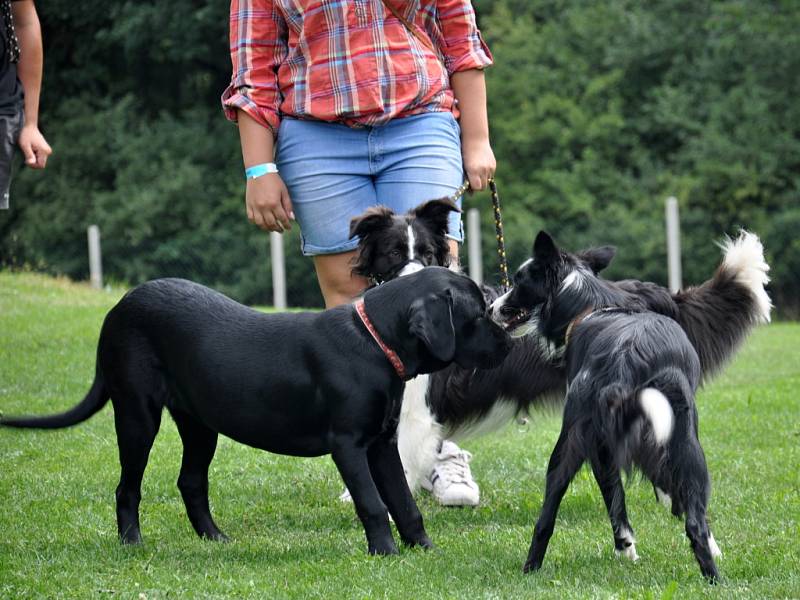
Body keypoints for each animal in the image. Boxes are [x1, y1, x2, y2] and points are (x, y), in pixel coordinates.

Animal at [1, 270, 512, 556]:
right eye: (478, 314)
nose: (509, 343)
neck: (374, 342)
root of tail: (120, 305)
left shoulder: (382, 444)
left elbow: (404, 504)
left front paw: (423, 550)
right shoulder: (348, 444)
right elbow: (372, 504)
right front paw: (384, 554)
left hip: (199, 423)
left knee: (191, 482)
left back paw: (214, 539)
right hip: (136, 414)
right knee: (128, 487)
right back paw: (132, 544)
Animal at [488, 231, 776, 580]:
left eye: (519, 281)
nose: (490, 307)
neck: (592, 304)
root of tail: (625, 362)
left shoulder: (599, 446)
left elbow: (615, 495)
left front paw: (626, 546)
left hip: (573, 442)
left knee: (546, 518)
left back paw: (532, 567)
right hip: (688, 443)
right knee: (694, 522)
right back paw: (714, 578)